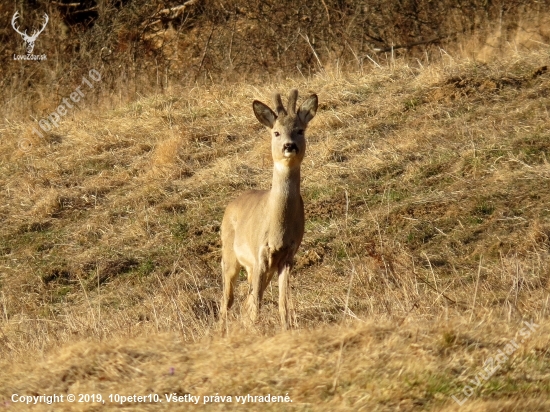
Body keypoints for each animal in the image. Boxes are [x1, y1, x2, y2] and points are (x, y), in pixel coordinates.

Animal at [221, 89, 320, 328]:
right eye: (276, 132)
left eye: (300, 130)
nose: (289, 146)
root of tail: (230, 205)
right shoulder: (260, 253)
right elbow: (257, 303)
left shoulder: (288, 256)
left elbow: (283, 303)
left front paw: (286, 328)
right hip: (229, 256)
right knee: (227, 301)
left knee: (245, 301)